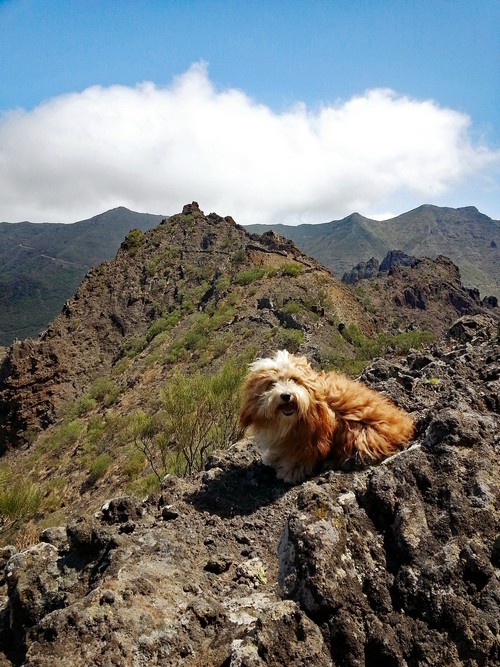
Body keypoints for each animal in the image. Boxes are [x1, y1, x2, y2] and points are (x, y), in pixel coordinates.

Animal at [239, 350, 414, 486]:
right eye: (272, 383)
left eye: (294, 379)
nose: (286, 395)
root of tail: (402, 424)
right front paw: (273, 457)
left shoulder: (312, 437)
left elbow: (300, 456)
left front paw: (290, 471)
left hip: (363, 434)